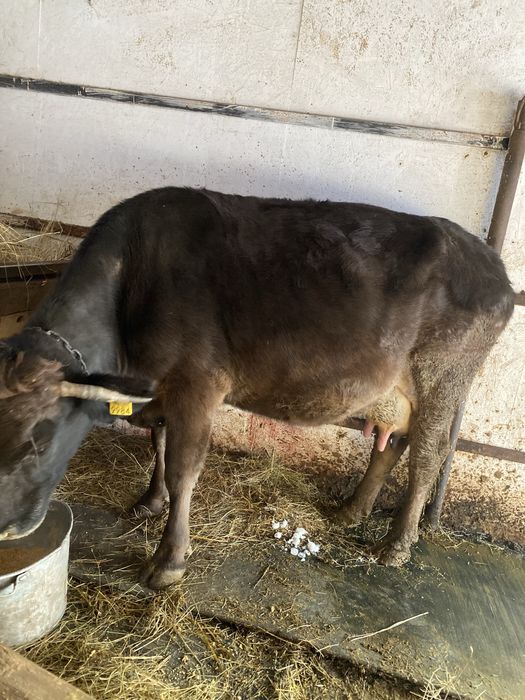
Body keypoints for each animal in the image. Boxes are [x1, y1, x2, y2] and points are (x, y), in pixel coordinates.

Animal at [0, 187, 514, 589]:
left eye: (39, 441)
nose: (6, 529)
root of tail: (494, 268)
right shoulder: (160, 385)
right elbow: (157, 441)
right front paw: (149, 501)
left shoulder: (198, 384)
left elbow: (183, 469)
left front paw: (169, 562)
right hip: (396, 392)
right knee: (390, 446)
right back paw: (351, 512)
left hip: (442, 379)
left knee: (427, 456)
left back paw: (396, 545)